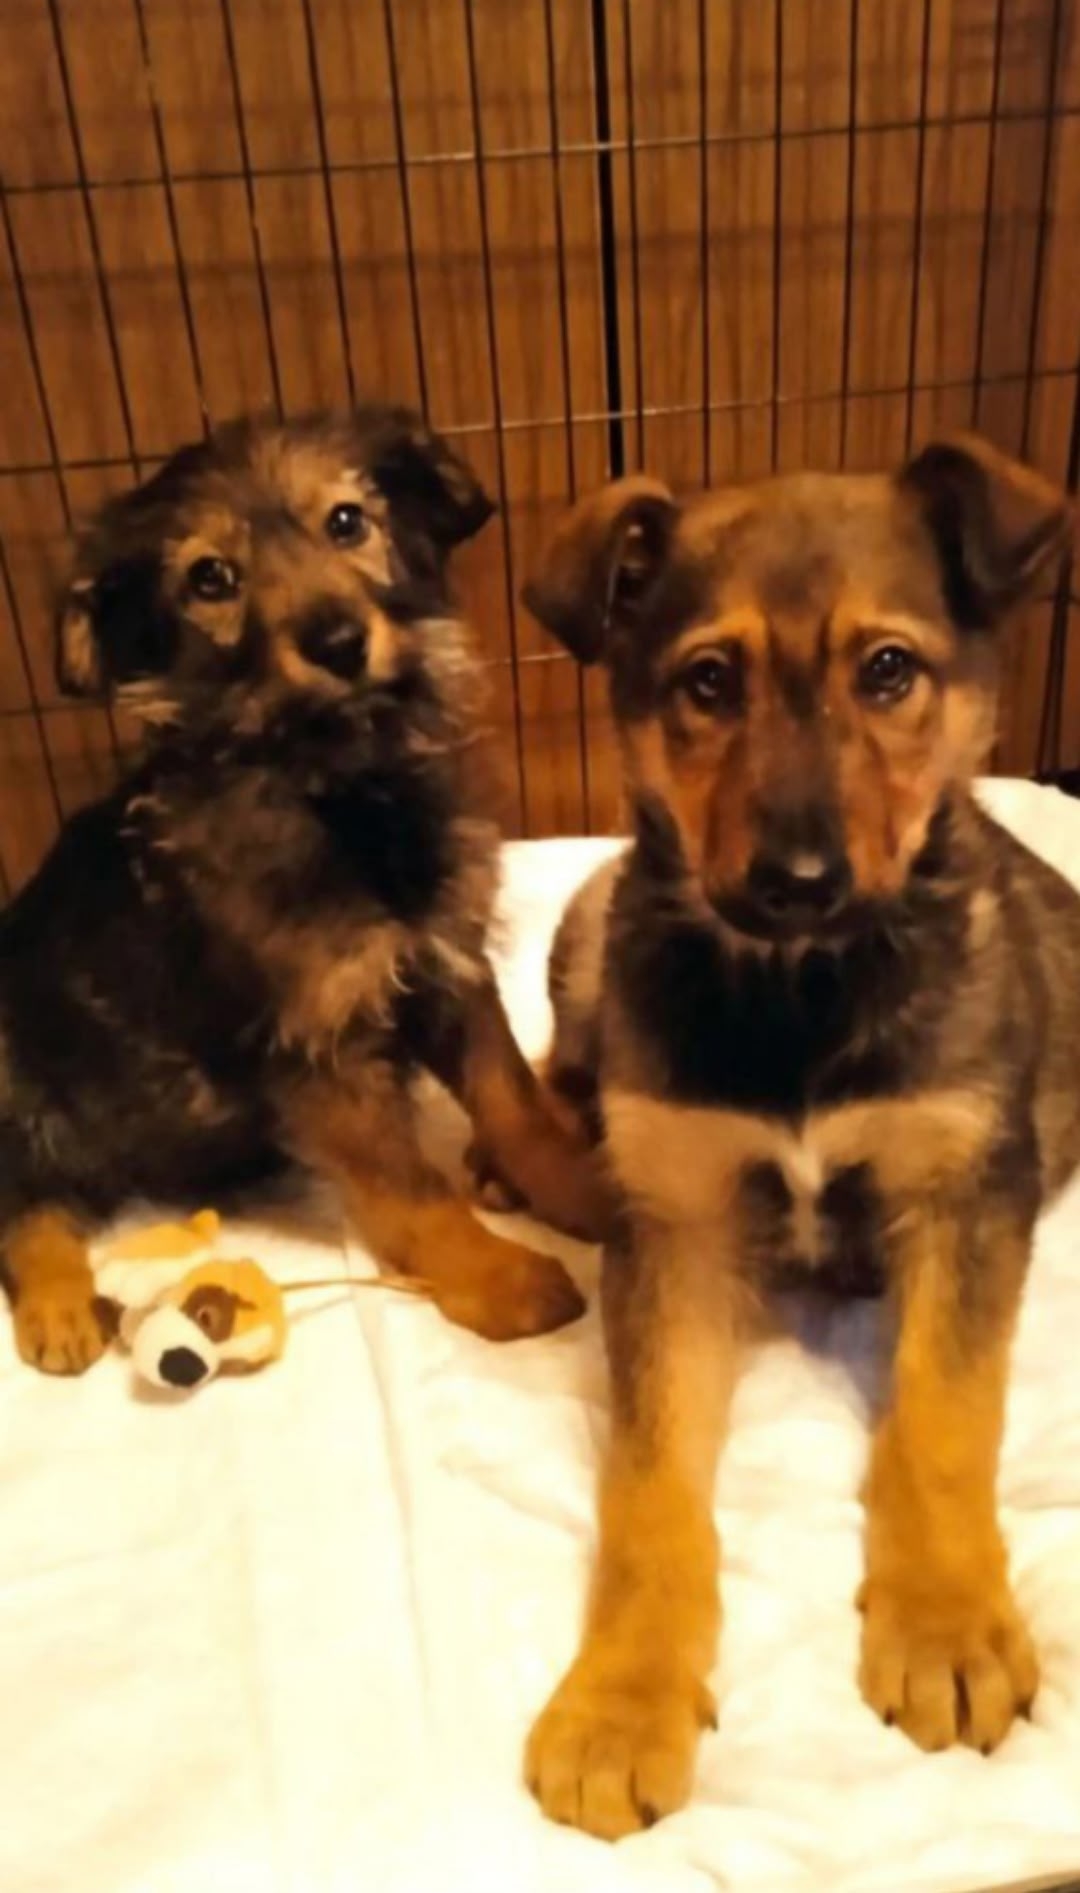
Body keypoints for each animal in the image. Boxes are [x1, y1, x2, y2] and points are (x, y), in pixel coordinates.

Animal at [0, 405, 609, 1376]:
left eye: (346, 522)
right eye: (211, 578)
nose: (339, 643)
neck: (344, 789)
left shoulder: (448, 966)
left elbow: (517, 1104)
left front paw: (581, 1196)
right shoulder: (315, 1047)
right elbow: (414, 1188)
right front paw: (498, 1279)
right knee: (25, 1195)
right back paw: (58, 1304)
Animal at [520, 434, 1076, 1837]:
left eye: (888, 671)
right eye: (707, 683)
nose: (798, 883)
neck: (802, 990)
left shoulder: (965, 1192)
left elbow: (943, 1419)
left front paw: (945, 1626)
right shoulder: (672, 1229)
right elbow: (650, 1488)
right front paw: (622, 1703)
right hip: (593, 917)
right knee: (566, 1048)